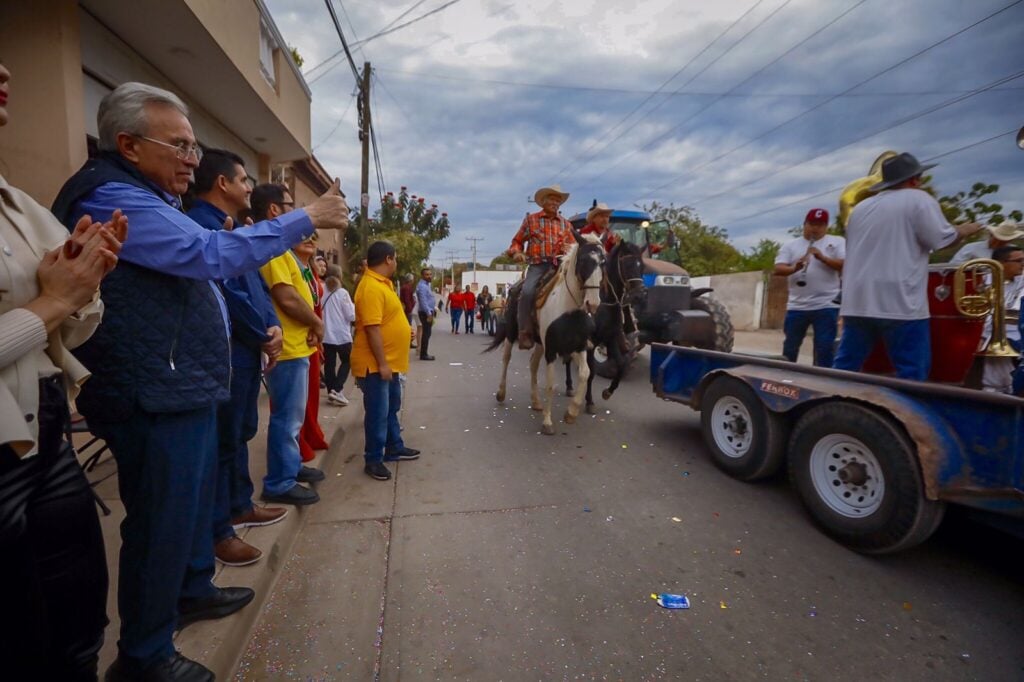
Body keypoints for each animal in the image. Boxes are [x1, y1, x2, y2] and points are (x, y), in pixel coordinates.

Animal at [483, 232, 602, 436]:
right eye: (583, 260)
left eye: (603, 261)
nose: (592, 303)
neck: (569, 310)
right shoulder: (552, 350)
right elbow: (551, 385)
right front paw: (547, 422)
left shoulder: (578, 347)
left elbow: (585, 373)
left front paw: (571, 412)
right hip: (512, 333)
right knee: (506, 358)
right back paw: (501, 393)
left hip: (539, 342)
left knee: (533, 364)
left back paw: (536, 402)